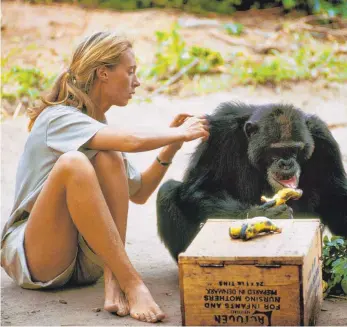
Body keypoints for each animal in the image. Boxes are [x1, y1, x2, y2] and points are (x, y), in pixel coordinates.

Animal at [157, 102, 347, 262]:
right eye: (275, 150)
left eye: (295, 149)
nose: (286, 163)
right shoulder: (219, 132)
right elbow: (200, 188)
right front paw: (263, 213)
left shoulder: (324, 138)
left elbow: (336, 196)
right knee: (169, 190)